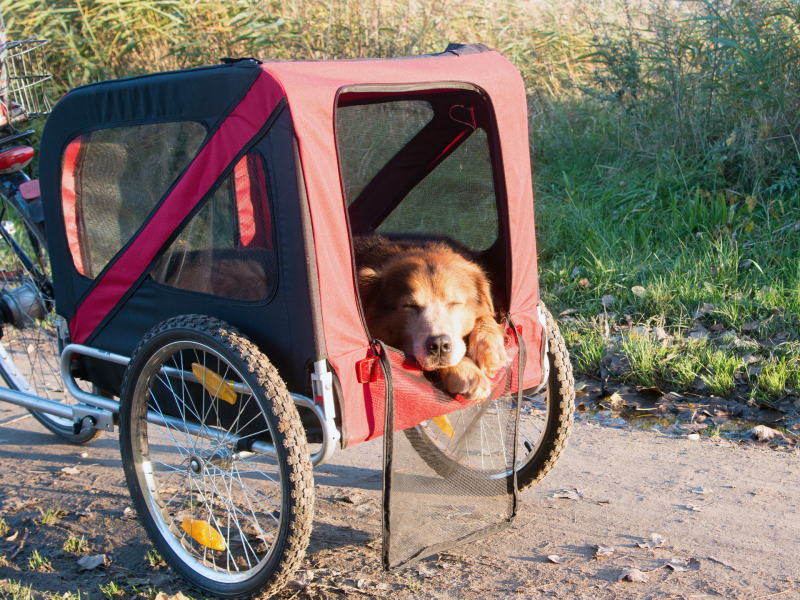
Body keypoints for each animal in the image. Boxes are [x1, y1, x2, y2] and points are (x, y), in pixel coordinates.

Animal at [354, 236, 506, 404]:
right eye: (410, 306)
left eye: (455, 303)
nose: (439, 345)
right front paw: (466, 371)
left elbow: (486, 315)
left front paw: (489, 348)